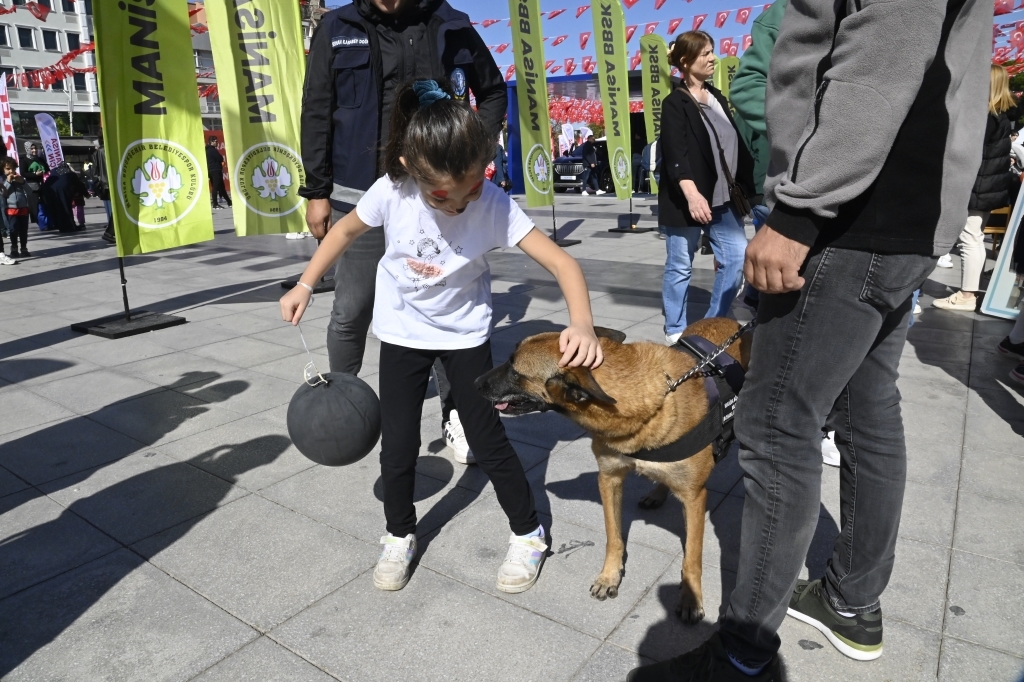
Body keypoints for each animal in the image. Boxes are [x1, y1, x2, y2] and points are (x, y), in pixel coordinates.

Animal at [473, 319, 753, 622]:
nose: (475, 383)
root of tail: (730, 320)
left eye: (515, 371)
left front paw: (691, 597)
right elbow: (613, 537)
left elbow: (692, 555)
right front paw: (609, 577)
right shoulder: (609, 479)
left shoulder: (694, 497)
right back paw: (657, 493)